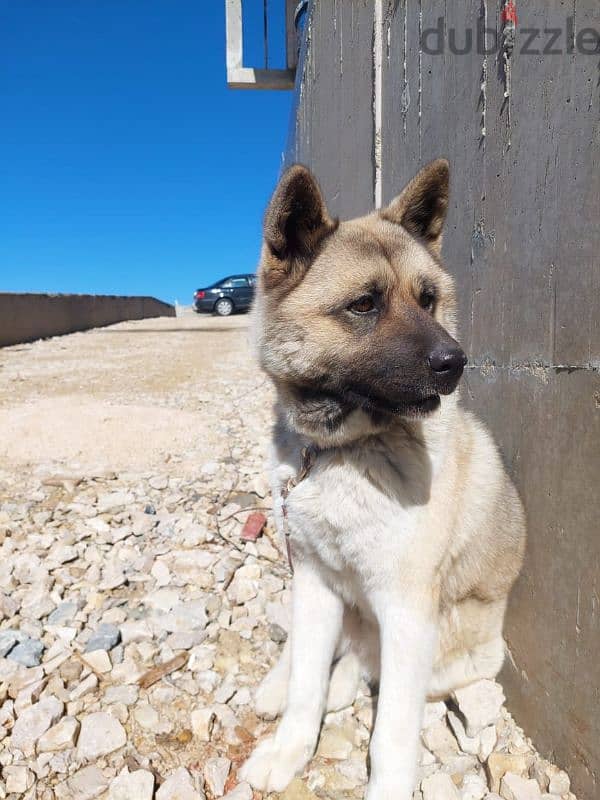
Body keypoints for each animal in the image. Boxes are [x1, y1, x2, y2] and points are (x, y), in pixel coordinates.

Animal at [239, 159, 524, 796]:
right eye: (365, 304)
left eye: (428, 299)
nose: (455, 362)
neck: (341, 451)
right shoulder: (314, 583)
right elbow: (305, 687)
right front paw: (289, 747)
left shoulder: (407, 611)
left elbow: (392, 732)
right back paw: (276, 684)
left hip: (451, 649)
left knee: (366, 665)